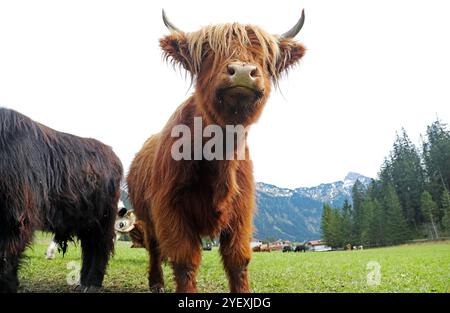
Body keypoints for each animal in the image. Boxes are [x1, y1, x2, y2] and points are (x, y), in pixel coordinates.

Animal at [0, 108, 123, 292]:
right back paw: (82, 282)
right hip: (87, 221)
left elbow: (6, 256)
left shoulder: (16, 219)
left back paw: (92, 283)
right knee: (90, 247)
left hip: (103, 219)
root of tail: (113, 155)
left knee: (99, 247)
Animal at [128, 10, 308, 292]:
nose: (243, 71)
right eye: (207, 51)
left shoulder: (241, 212)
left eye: (265, 54)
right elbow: (185, 260)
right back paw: (156, 282)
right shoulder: (170, 209)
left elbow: (238, 260)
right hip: (147, 216)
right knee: (154, 247)